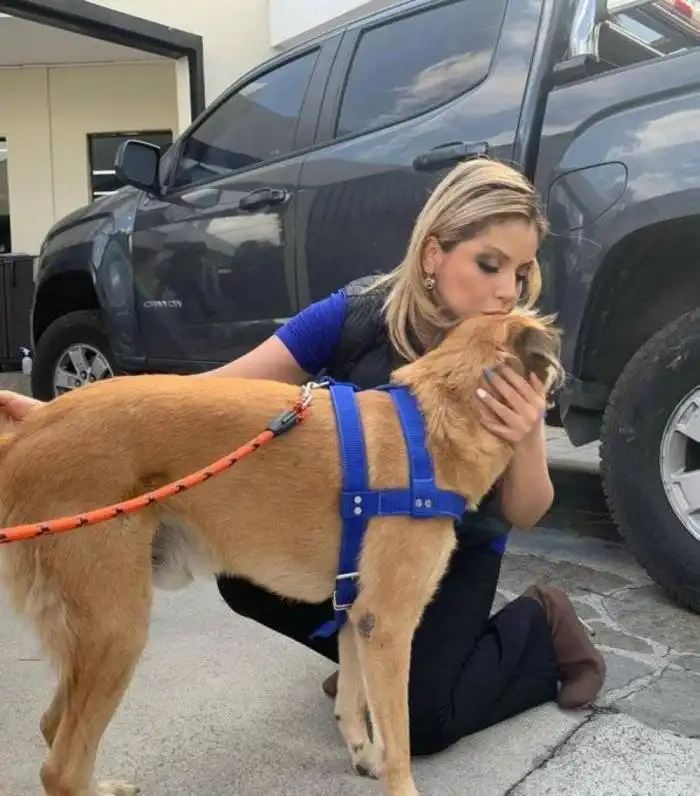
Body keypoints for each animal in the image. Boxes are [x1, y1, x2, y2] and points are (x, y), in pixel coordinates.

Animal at [0, 310, 560, 796]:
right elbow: (398, 739)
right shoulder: (389, 624)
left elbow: (354, 700)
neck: (431, 420)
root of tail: (27, 432)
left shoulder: (356, 610)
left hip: (97, 634)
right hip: (117, 630)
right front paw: (396, 779)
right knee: (61, 769)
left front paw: (363, 755)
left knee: (53, 728)